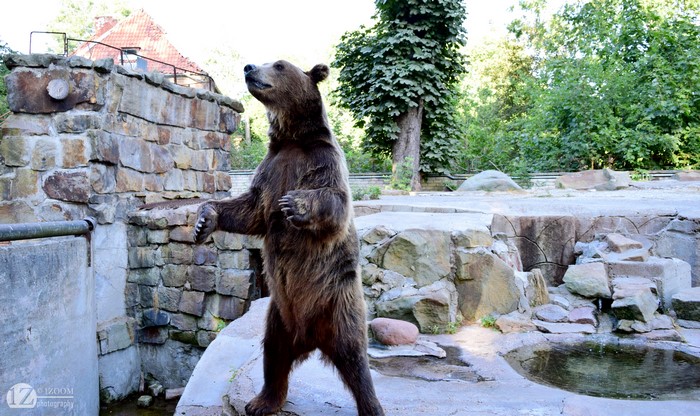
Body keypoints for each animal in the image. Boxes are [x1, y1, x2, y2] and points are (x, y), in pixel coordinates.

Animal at [193, 60, 384, 416]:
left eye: (280, 65)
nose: (249, 67)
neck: (293, 139)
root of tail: (310, 339)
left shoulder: (322, 160)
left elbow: (334, 201)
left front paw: (295, 203)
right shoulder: (270, 168)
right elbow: (250, 209)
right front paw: (204, 220)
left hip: (339, 303)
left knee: (356, 359)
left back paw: (371, 406)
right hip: (280, 315)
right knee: (274, 354)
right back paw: (261, 401)